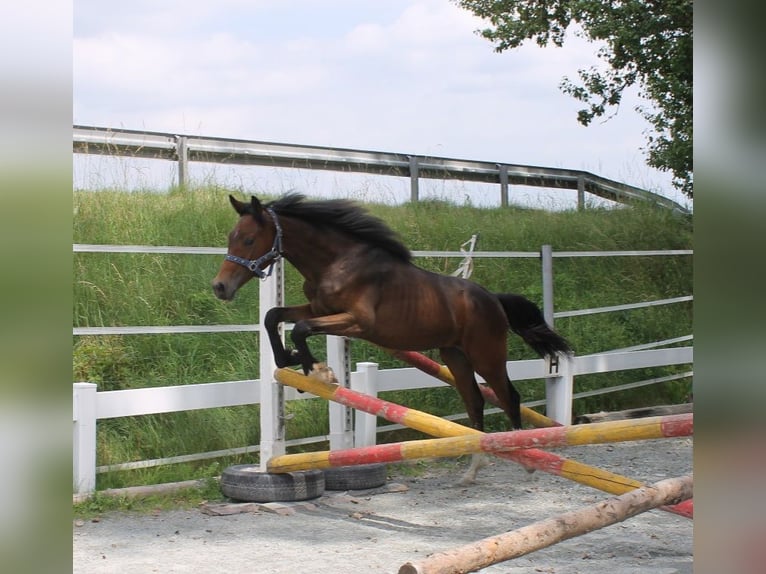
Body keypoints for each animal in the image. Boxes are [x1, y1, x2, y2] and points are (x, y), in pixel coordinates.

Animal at [213, 196, 572, 484]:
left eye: (248, 239)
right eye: (231, 238)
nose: (220, 288)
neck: (336, 263)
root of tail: (493, 299)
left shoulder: (356, 321)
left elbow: (300, 328)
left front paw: (317, 371)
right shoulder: (319, 310)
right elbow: (274, 316)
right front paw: (294, 362)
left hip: (486, 354)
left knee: (509, 396)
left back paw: (527, 460)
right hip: (454, 355)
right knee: (475, 400)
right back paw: (473, 469)